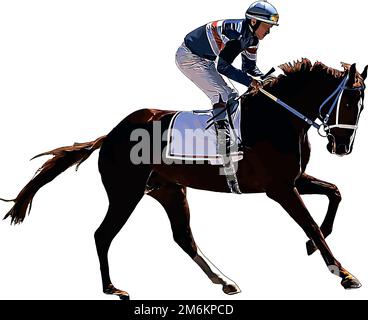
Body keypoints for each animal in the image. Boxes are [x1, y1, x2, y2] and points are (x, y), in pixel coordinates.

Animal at [2, 58, 366, 300]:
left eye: (361, 105)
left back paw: (224, 280)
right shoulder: (279, 189)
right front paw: (343, 273)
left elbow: (335, 193)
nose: (342, 147)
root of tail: (111, 134)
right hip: (125, 192)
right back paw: (112, 288)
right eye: (348, 101)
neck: (277, 117)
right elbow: (311, 224)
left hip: (169, 190)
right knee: (102, 234)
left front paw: (313, 248)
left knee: (183, 237)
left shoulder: (294, 179)